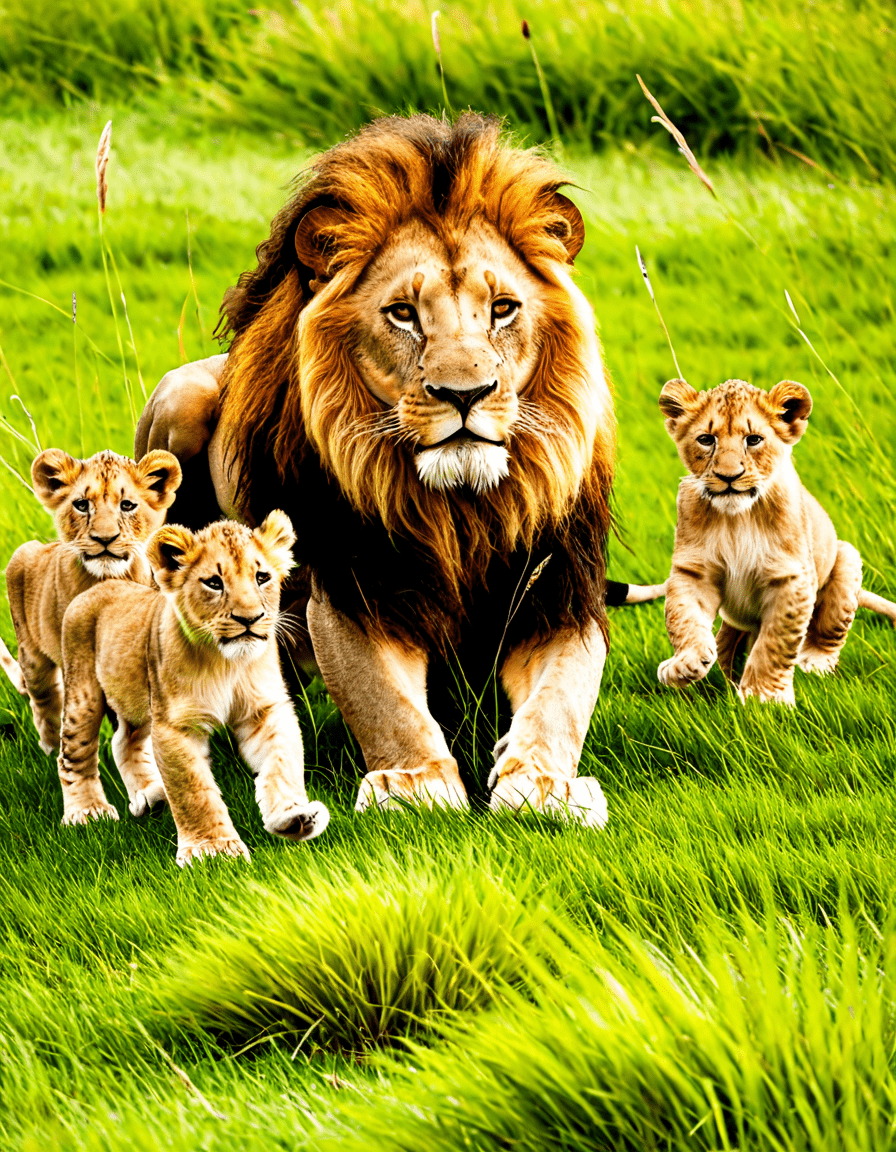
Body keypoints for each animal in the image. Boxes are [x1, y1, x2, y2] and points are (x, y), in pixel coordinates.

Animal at [2, 447, 181, 753]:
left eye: (127, 505)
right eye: (82, 505)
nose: (105, 539)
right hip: (32, 655)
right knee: (43, 699)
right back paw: (49, 746)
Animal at [57, 512, 330, 863]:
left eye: (262, 577)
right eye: (213, 582)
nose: (250, 619)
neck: (227, 664)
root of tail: (103, 584)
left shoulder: (264, 710)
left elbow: (282, 762)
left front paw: (294, 817)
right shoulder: (176, 724)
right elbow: (192, 789)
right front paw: (212, 849)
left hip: (138, 701)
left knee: (124, 741)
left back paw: (150, 797)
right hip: (84, 695)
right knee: (72, 754)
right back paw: (86, 811)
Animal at [135, 113, 618, 826]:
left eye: (502, 308)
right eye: (404, 314)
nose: (466, 394)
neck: (461, 509)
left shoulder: (559, 588)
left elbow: (560, 698)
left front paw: (542, 782)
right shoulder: (354, 590)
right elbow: (384, 700)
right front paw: (414, 783)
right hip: (181, 398)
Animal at [653, 377, 896, 704]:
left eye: (754, 439)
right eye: (706, 439)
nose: (728, 476)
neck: (737, 519)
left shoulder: (791, 576)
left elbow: (776, 642)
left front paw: (764, 698)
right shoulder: (694, 570)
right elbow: (682, 617)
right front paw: (684, 663)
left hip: (845, 558)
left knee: (830, 629)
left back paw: (814, 662)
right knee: (729, 639)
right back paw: (725, 674)